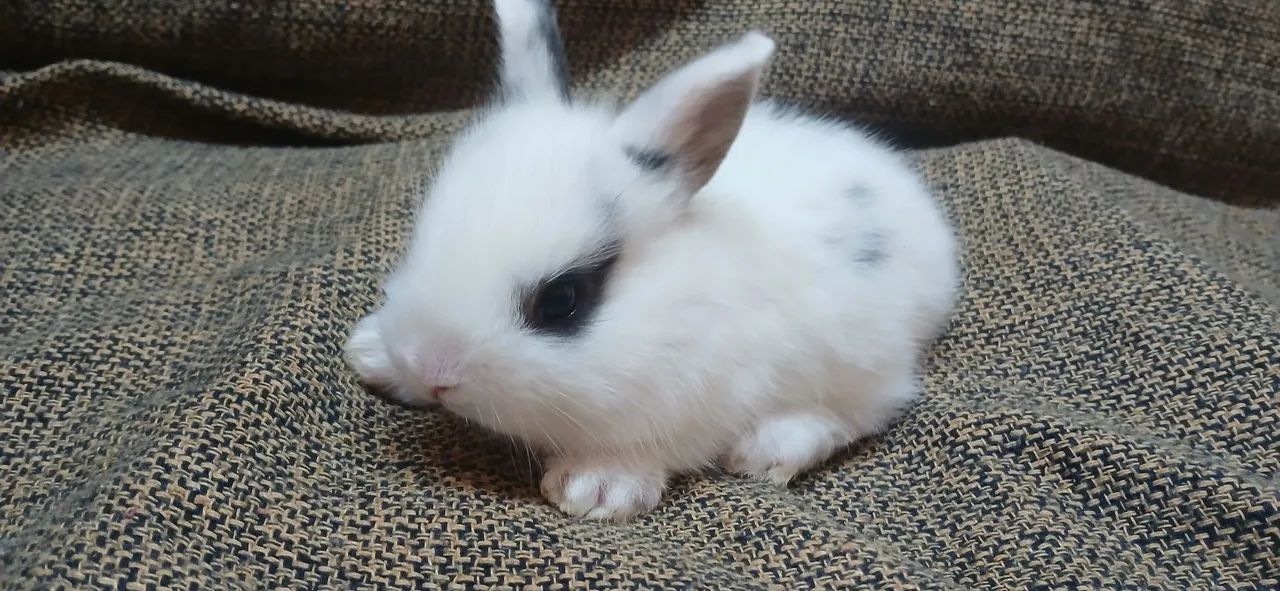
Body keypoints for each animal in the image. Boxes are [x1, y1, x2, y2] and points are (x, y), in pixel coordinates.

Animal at [344, 0, 959, 522]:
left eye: (562, 301)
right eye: (422, 238)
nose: (432, 371)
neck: (673, 311)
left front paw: (594, 489)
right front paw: (369, 352)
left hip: (862, 356)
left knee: (864, 409)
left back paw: (767, 449)